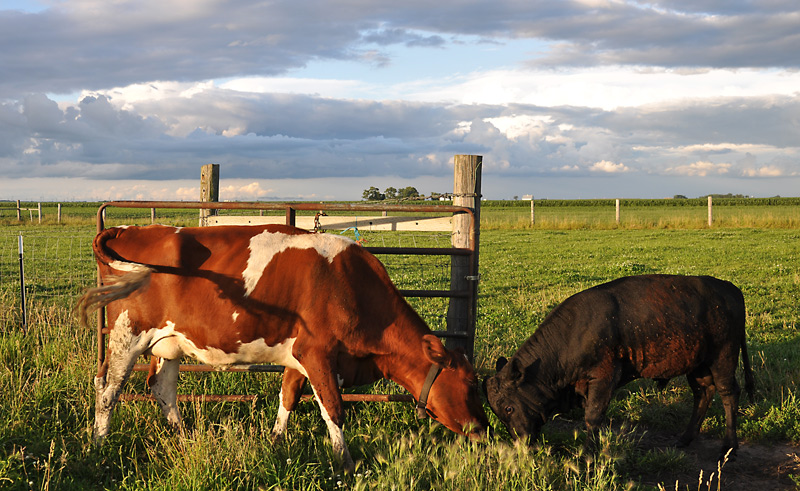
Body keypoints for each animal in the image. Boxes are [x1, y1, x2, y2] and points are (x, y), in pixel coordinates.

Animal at [77, 224, 489, 471]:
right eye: (470, 384)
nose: (484, 430)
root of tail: (131, 228)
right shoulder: (318, 352)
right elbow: (333, 409)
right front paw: (345, 463)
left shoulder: (298, 355)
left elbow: (288, 396)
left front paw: (276, 441)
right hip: (126, 333)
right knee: (107, 388)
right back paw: (99, 445)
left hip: (169, 343)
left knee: (162, 389)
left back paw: (183, 437)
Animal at [484, 274, 754, 458]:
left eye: (508, 408)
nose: (521, 443)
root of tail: (731, 289)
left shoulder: (603, 378)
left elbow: (593, 417)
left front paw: (587, 454)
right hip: (697, 366)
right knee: (703, 394)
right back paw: (685, 438)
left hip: (723, 359)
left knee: (729, 394)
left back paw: (728, 448)